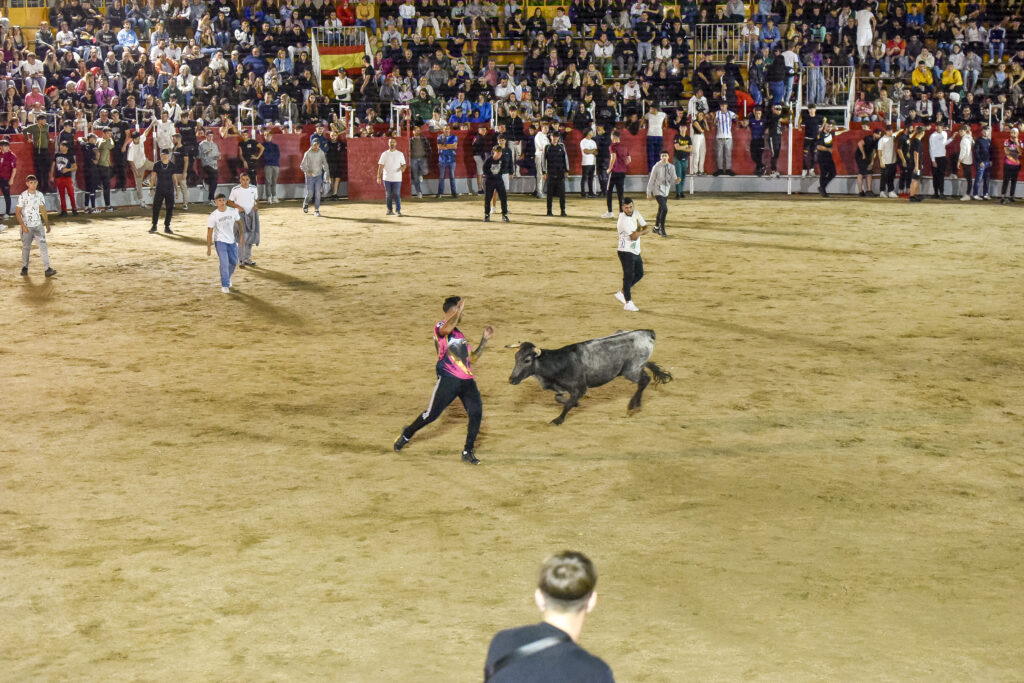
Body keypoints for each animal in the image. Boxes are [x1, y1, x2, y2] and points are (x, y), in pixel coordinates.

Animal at [509, 329, 671, 421]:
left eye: (527, 360)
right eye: (515, 357)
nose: (512, 379)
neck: (560, 362)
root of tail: (648, 332)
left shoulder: (580, 388)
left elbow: (567, 404)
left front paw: (558, 420)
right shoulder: (562, 388)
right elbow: (560, 398)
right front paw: (575, 404)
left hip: (630, 371)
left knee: (644, 380)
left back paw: (632, 406)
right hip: (636, 368)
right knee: (645, 379)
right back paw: (637, 405)